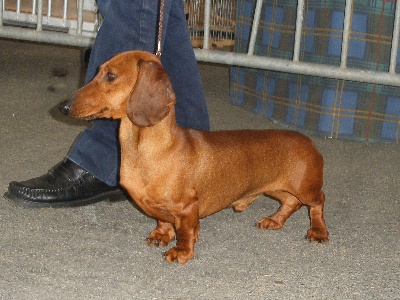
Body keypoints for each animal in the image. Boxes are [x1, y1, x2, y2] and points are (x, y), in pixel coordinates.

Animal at [60, 50, 328, 264]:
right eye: (98, 71)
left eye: (111, 76)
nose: (63, 107)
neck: (145, 149)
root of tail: (308, 141)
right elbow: (163, 221)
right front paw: (162, 234)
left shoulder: (187, 207)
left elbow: (186, 232)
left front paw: (181, 251)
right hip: (275, 188)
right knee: (291, 203)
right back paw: (274, 220)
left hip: (304, 186)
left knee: (317, 201)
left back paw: (318, 231)